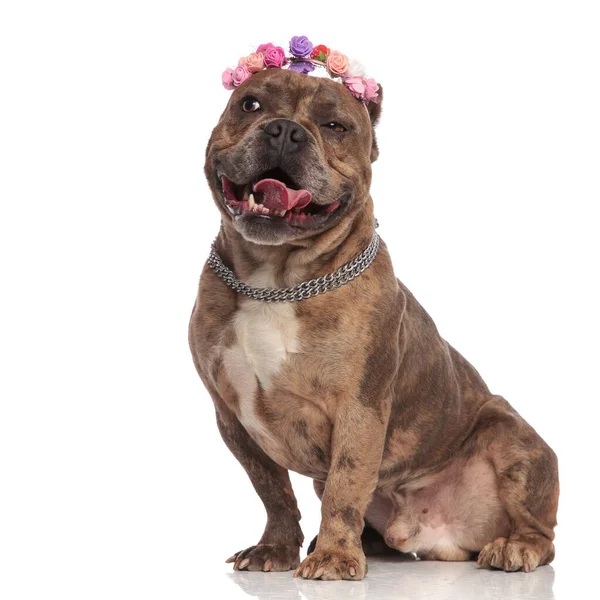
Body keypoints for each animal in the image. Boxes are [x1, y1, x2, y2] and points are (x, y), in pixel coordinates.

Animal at [188, 67, 556, 580]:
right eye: (250, 105)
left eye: (335, 127)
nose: (285, 130)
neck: (276, 280)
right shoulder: (233, 417)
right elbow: (273, 491)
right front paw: (276, 548)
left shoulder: (359, 409)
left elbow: (345, 485)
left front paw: (334, 558)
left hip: (512, 439)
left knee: (542, 532)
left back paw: (516, 548)